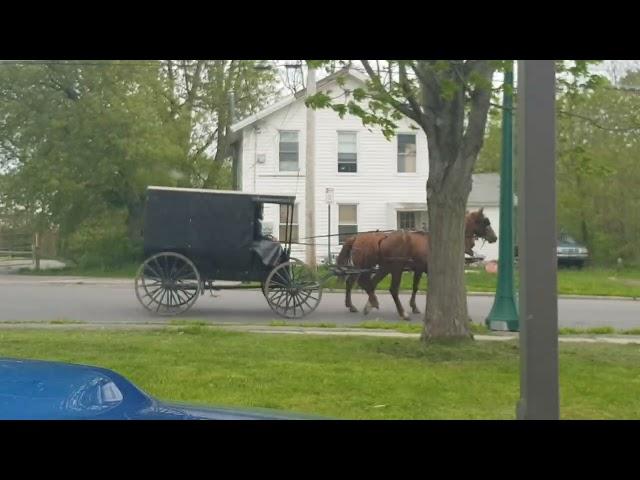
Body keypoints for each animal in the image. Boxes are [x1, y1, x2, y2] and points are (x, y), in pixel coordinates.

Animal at [338, 209, 498, 318]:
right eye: (485, 222)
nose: (494, 237)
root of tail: (356, 237)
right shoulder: (427, 270)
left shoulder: (419, 269)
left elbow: (415, 287)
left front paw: (415, 307)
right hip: (380, 267)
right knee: (380, 286)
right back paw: (398, 311)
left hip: (381, 267)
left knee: (369, 283)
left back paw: (368, 304)